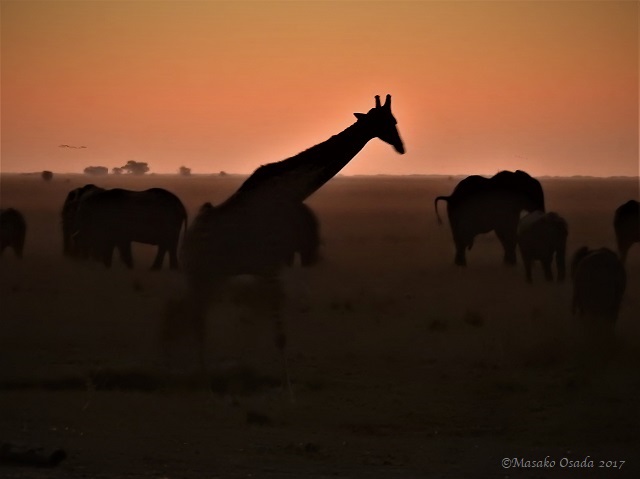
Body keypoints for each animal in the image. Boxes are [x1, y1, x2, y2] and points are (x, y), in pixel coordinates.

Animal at [169, 95, 405, 395]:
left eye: (394, 120)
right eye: (385, 122)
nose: (400, 146)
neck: (289, 190)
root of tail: (185, 243)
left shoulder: (270, 269)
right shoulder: (270, 267)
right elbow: (279, 335)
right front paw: (289, 392)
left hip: (215, 277)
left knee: (194, 318)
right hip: (199, 275)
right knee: (197, 321)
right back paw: (204, 382)